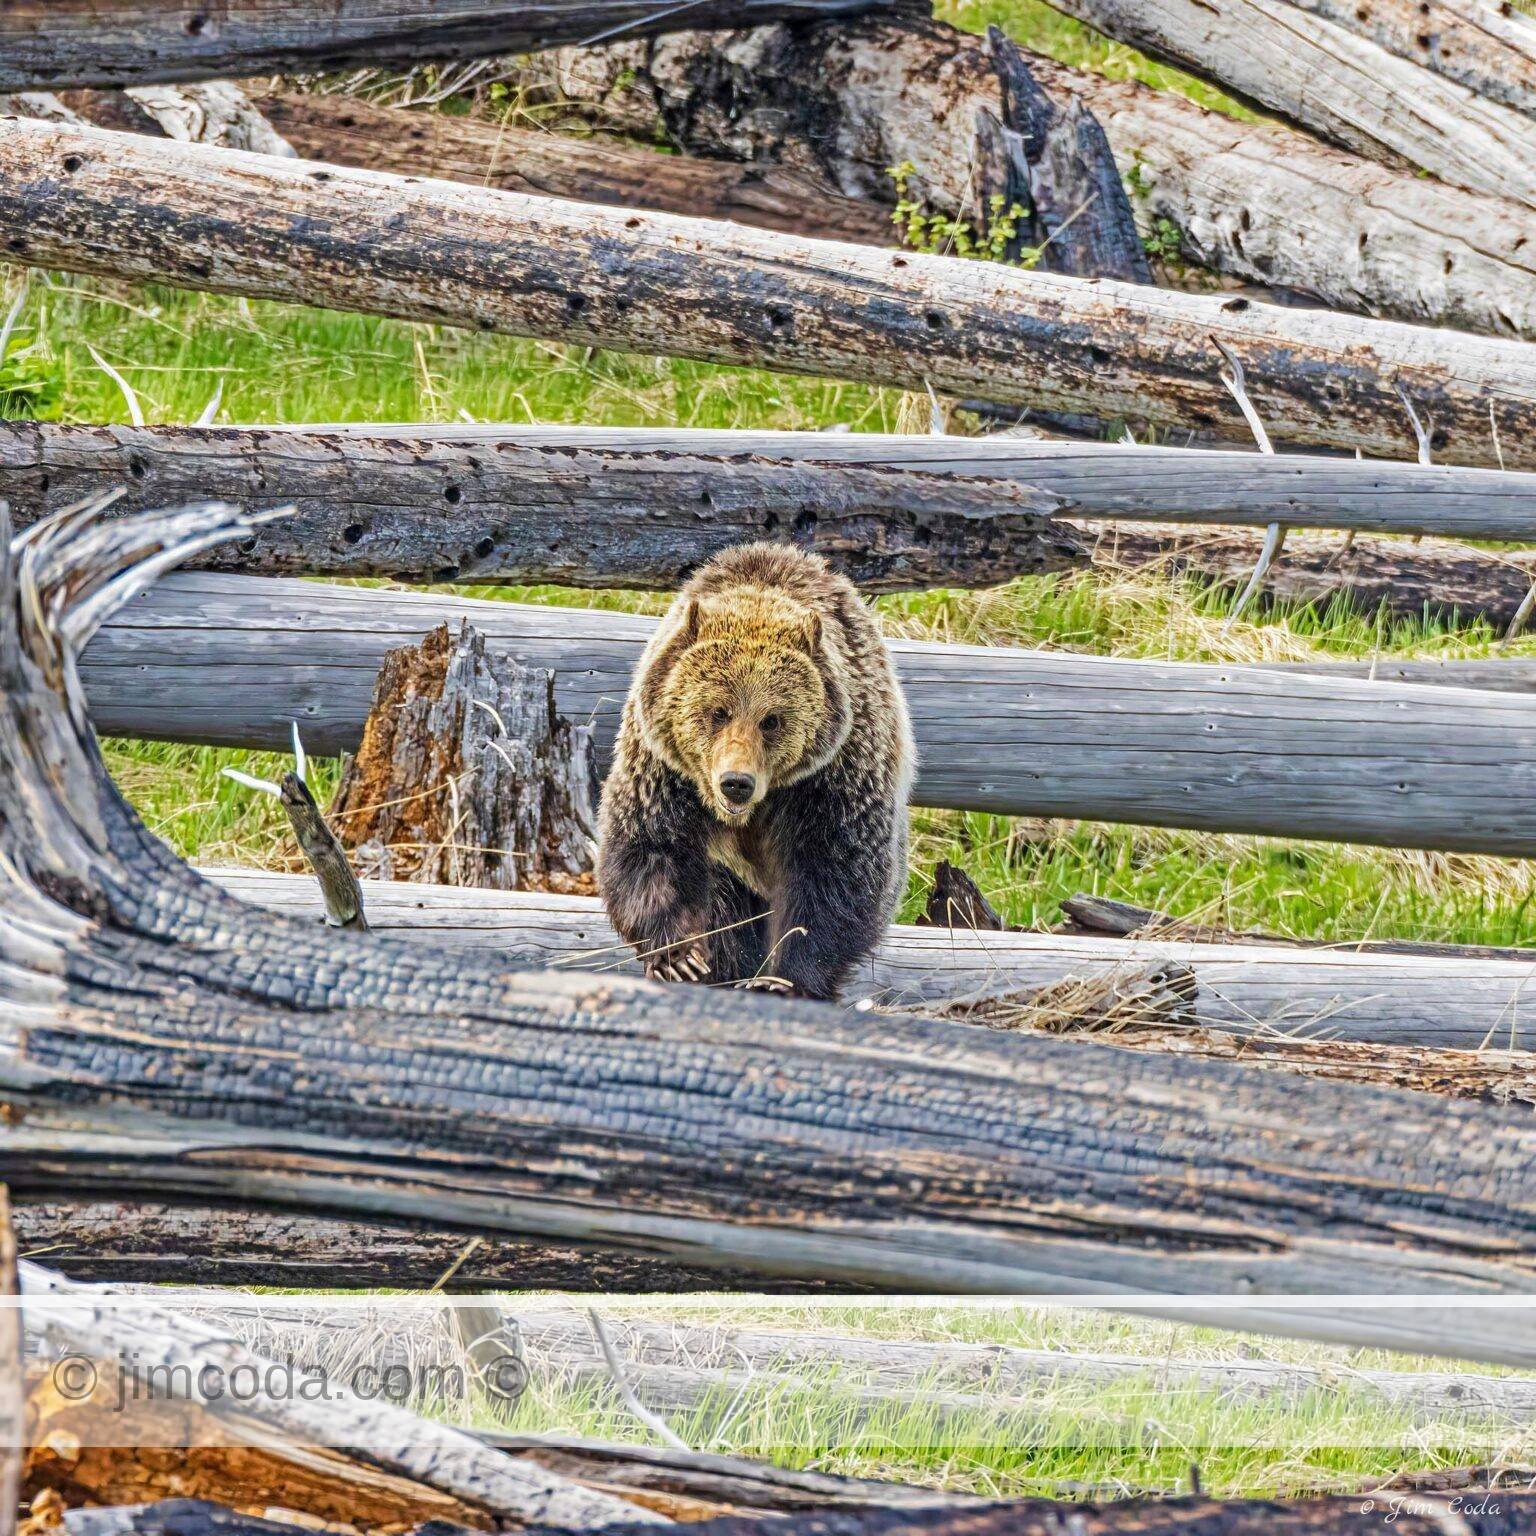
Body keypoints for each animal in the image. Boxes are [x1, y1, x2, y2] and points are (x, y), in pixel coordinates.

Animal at [597, 542, 915, 1002]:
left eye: (772, 719)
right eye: (717, 711)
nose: (736, 783)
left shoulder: (833, 776)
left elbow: (835, 872)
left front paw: (784, 979)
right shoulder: (665, 770)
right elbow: (649, 847)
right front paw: (681, 958)